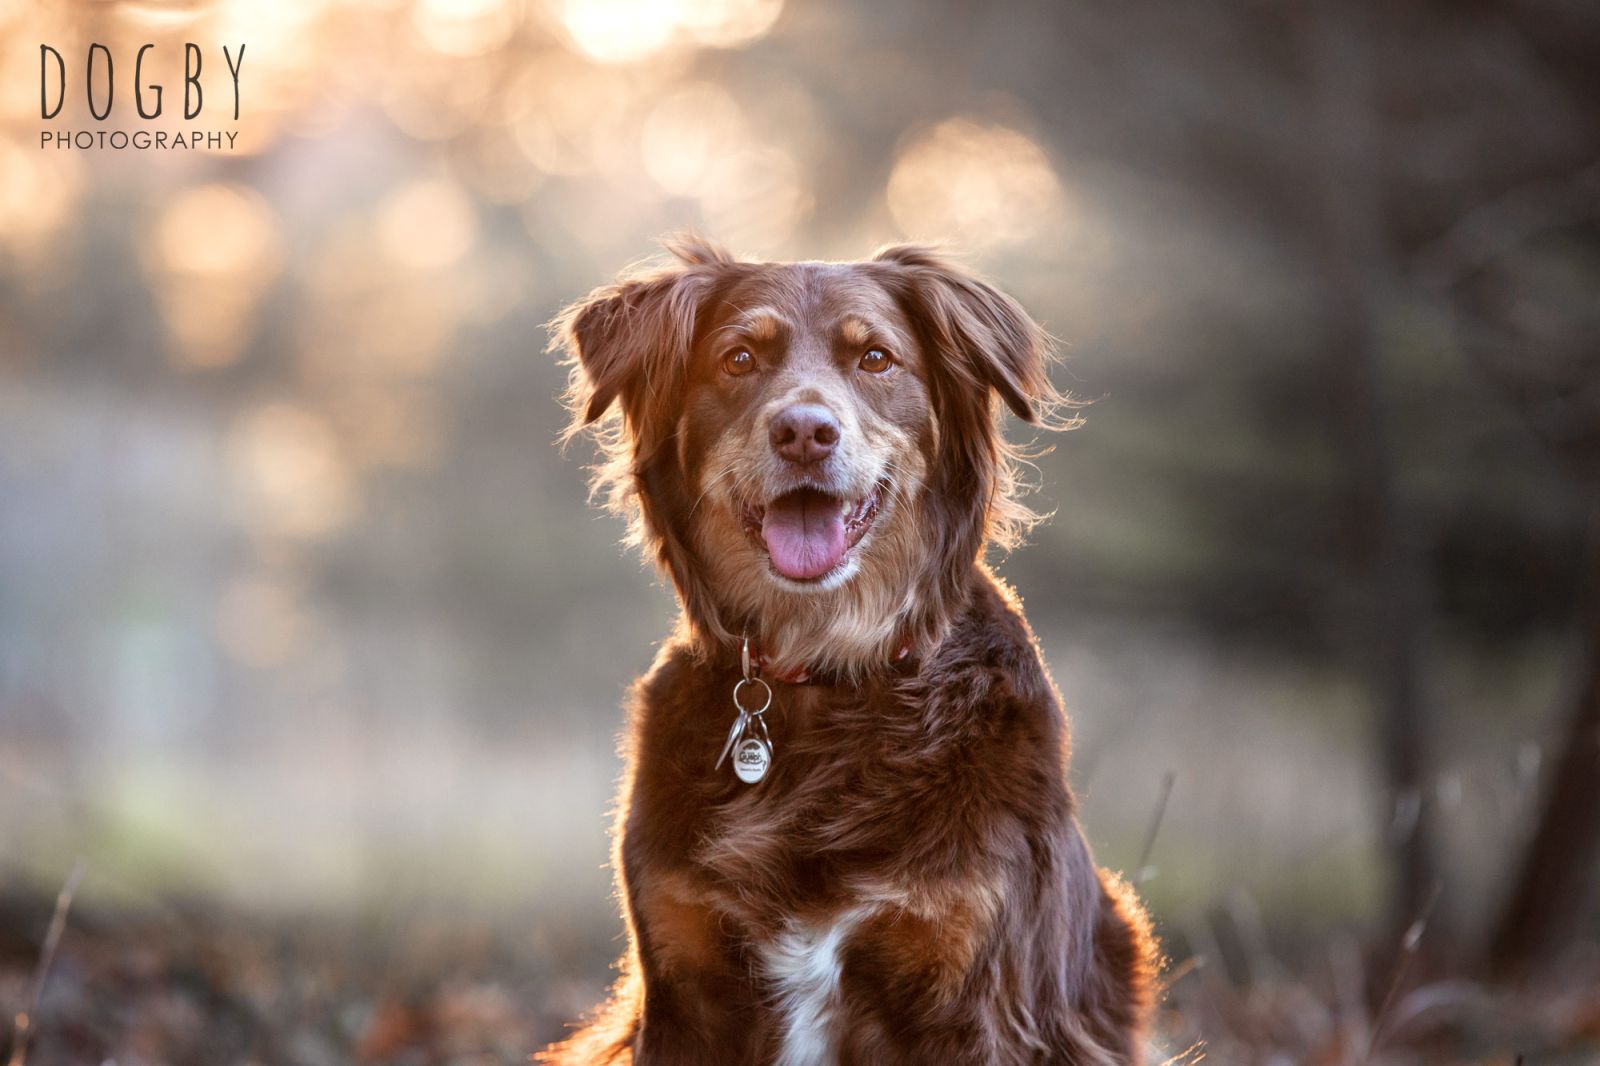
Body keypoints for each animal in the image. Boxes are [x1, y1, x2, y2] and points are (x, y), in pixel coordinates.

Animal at [544, 236, 1158, 1056]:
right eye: (738, 359)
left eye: (875, 358)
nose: (805, 432)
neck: (827, 672)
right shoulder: (684, 983)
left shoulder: (972, 989)